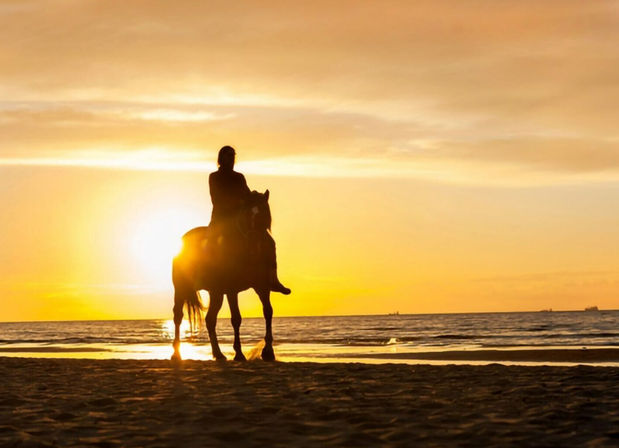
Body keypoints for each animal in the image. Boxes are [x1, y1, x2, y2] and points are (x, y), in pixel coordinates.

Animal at [170, 191, 276, 362]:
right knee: (178, 316)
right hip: (181, 289)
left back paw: (218, 354)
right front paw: (239, 353)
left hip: (216, 293)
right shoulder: (232, 290)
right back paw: (176, 353)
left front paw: (268, 351)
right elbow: (236, 318)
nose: (254, 244)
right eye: (246, 215)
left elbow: (268, 311)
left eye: (265, 214)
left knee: (210, 320)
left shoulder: (262, 286)